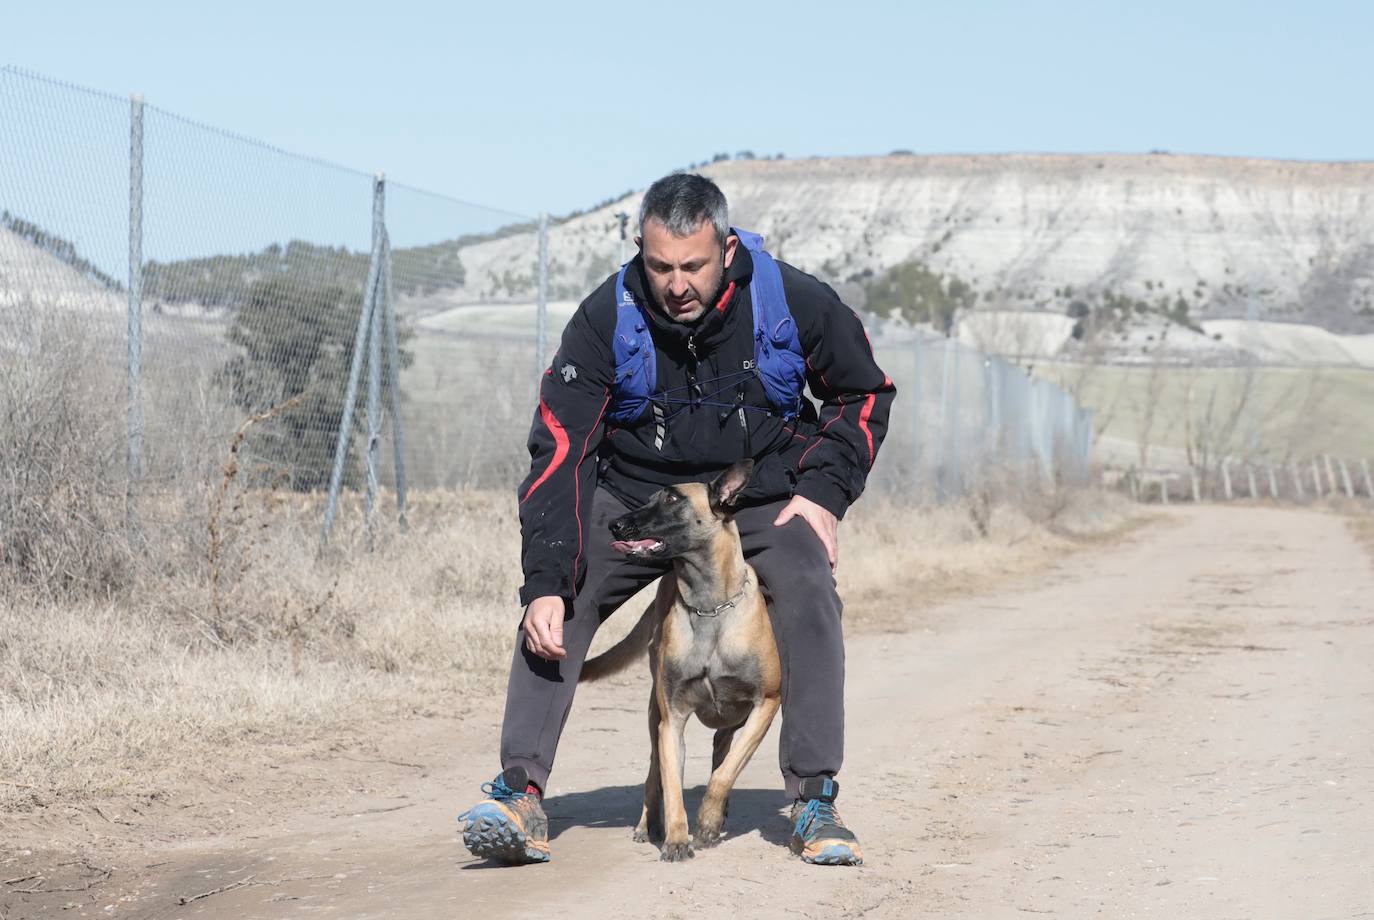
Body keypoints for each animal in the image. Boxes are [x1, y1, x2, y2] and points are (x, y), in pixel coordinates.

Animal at [574, 461, 780, 867]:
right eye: (649, 497)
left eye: (672, 499)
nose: (616, 524)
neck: (710, 606)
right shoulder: (672, 720)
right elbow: (672, 786)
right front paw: (677, 839)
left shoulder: (767, 703)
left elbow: (725, 773)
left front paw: (708, 822)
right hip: (655, 715)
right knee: (655, 773)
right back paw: (647, 824)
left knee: (721, 751)